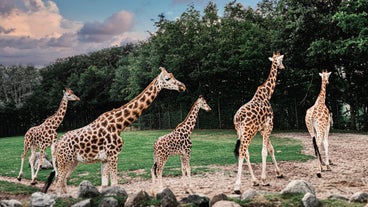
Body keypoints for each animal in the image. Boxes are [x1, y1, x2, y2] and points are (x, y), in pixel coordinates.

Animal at [52, 66, 184, 194]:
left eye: (173, 75)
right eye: (167, 78)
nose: (182, 86)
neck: (120, 125)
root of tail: (57, 144)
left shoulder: (105, 159)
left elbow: (104, 185)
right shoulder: (113, 155)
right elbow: (115, 183)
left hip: (72, 161)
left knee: (62, 180)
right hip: (64, 161)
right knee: (57, 182)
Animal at [233, 52, 284, 194]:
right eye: (281, 60)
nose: (283, 67)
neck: (267, 94)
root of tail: (238, 119)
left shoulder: (262, 129)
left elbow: (271, 149)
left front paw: (279, 173)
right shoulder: (269, 125)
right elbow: (264, 151)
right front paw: (264, 180)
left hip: (241, 132)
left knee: (245, 152)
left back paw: (254, 181)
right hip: (248, 132)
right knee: (242, 151)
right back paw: (237, 186)